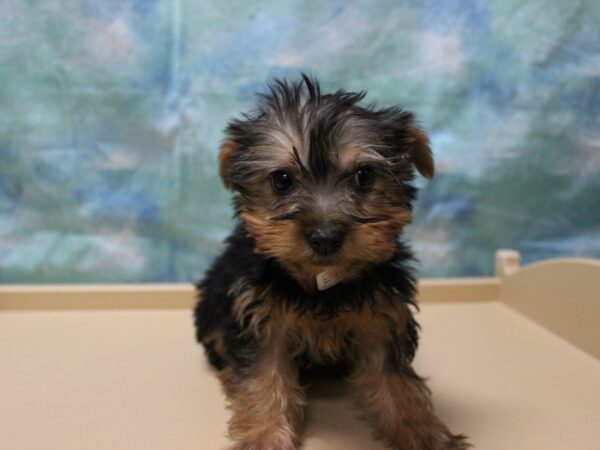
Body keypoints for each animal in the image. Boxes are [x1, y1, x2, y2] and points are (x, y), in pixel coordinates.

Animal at [195, 76, 466, 450]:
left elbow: (395, 379)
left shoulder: (383, 316)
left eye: (364, 176)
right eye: (282, 180)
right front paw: (265, 434)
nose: (325, 237)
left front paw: (422, 431)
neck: (323, 282)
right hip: (213, 301)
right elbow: (264, 373)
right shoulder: (259, 315)